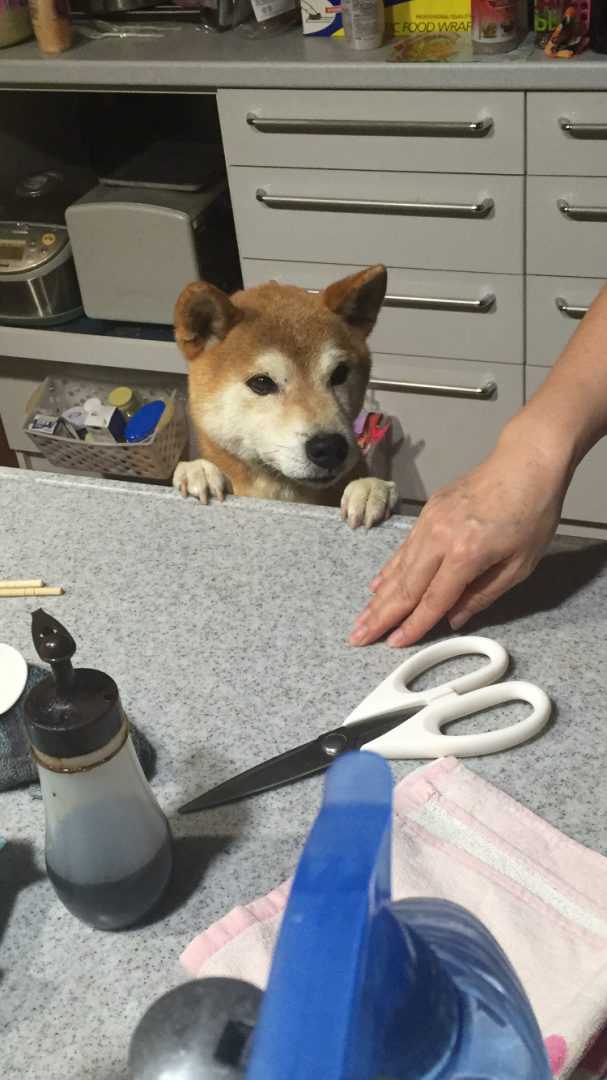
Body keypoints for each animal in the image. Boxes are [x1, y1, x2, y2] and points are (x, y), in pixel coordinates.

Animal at [171, 263, 397, 529]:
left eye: (340, 373)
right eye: (261, 383)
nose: (330, 446)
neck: (284, 494)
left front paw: (371, 489)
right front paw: (199, 471)